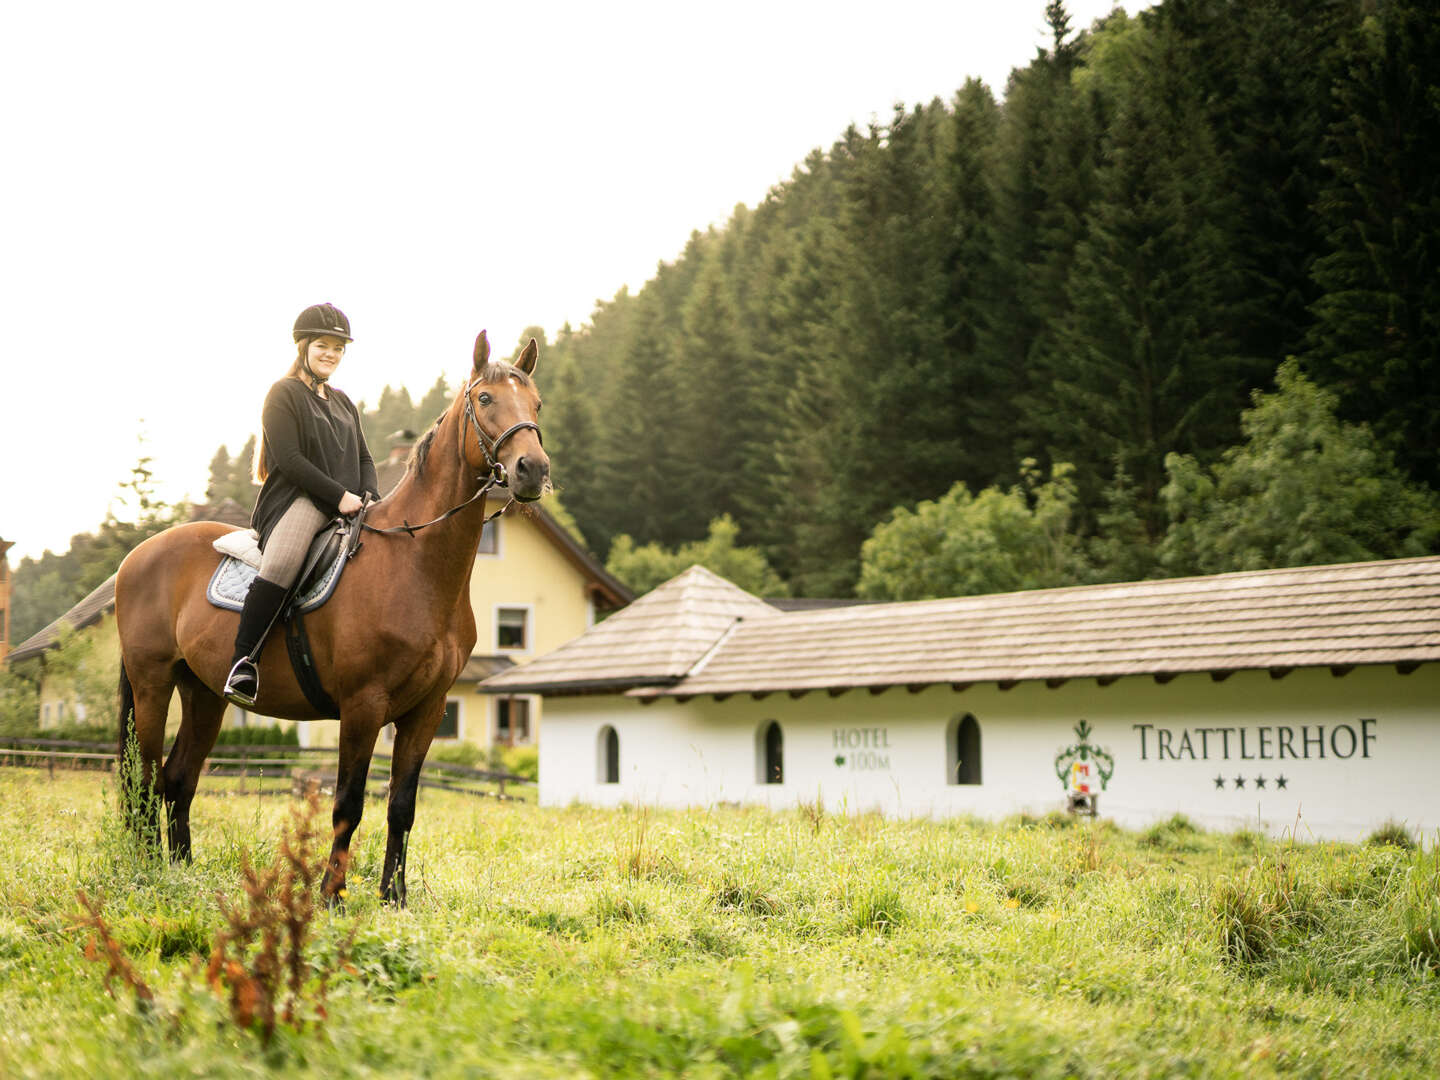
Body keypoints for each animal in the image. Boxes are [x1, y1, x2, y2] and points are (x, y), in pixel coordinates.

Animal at [112, 329, 547, 904]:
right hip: (152, 683)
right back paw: (147, 871)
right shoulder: (363, 706)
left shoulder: (427, 711)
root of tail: (136, 557)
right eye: (485, 399)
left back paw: (182, 872)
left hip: (204, 693)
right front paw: (331, 895)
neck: (415, 562)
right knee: (143, 777)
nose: (532, 470)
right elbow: (348, 804)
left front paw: (393, 898)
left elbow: (401, 807)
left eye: (537, 404)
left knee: (178, 778)